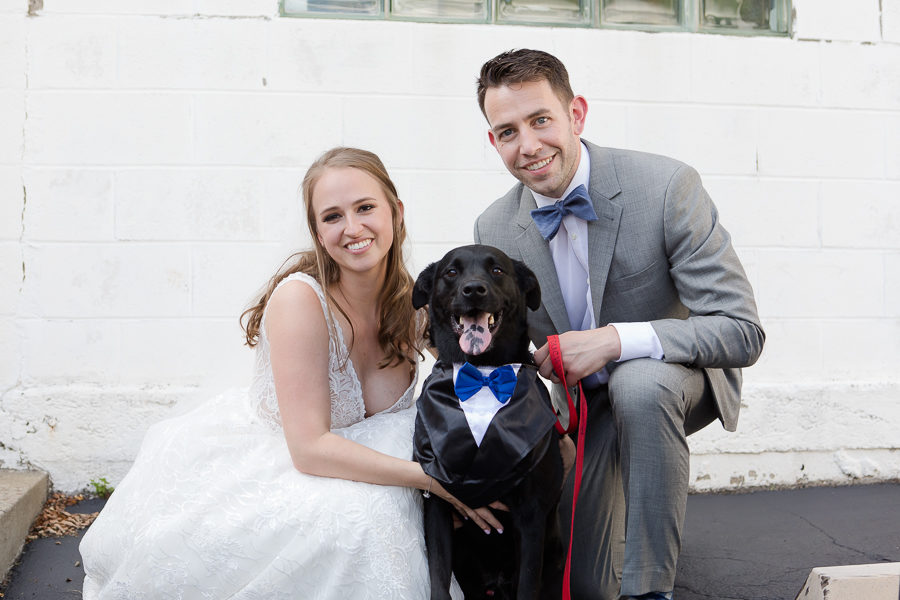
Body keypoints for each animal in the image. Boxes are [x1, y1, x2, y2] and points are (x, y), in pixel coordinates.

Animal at [414, 244, 564, 600]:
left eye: (497, 270)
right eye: (451, 272)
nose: (473, 290)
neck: (482, 374)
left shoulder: (531, 515)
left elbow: (528, 585)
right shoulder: (437, 504)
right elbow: (438, 578)